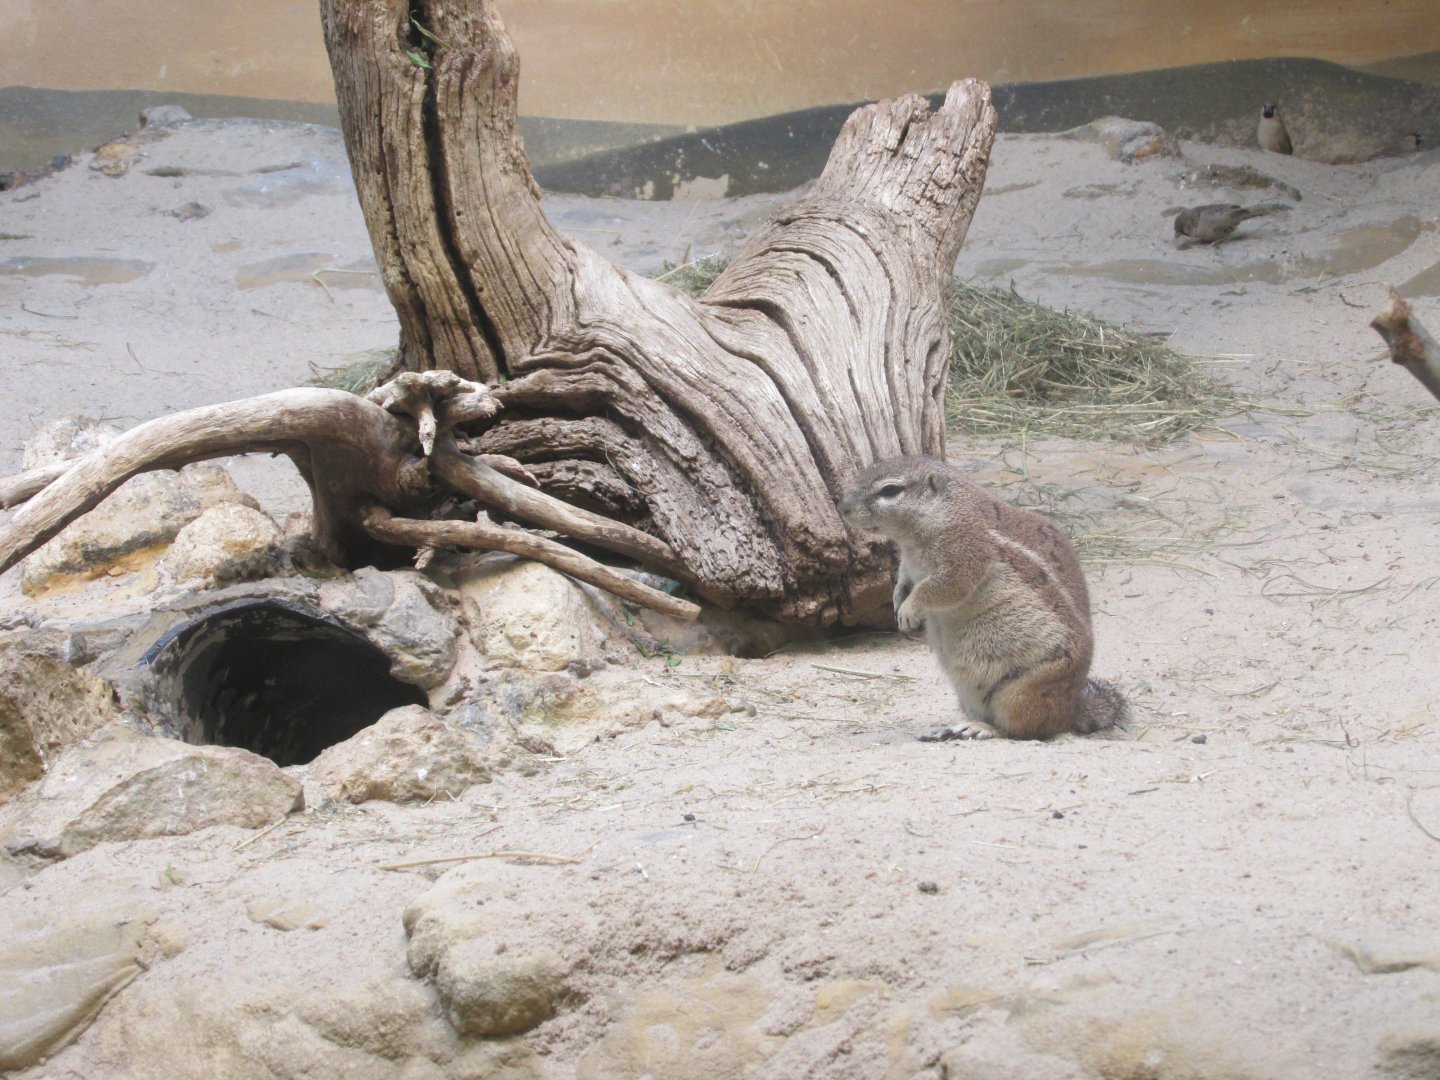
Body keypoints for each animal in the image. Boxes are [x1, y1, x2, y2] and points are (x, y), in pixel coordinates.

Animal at [838, 455, 1128, 740]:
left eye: (890, 490)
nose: (842, 507)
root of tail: (1070, 711)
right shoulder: (909, 564)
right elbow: (904, 577)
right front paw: (898, 599)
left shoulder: (965, 553)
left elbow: (942, 588)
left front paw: (909, 611)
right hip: (966, 693)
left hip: (1022, 692)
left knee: (1022, 731)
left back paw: (981, 728)